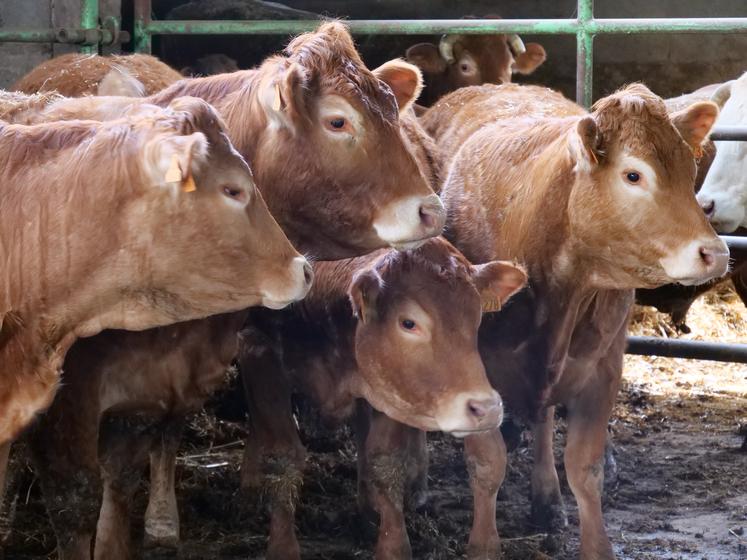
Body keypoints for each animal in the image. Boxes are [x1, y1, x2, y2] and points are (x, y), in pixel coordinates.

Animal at [238, 237, 524, 560]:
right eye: (408, 323)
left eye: (476, 317)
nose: (487, 408)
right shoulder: (258, 351)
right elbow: (282, 459)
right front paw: (282, 546)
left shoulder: (389, 387)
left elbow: (386, 461)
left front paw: (392, 545)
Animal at [420, 83, 732, 560]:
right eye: (633, 175)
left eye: (689, 165)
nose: (714, 253)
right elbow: (487, 464)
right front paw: (483, 544)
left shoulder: (602, 368)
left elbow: (585, 470)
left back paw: (546, 500)